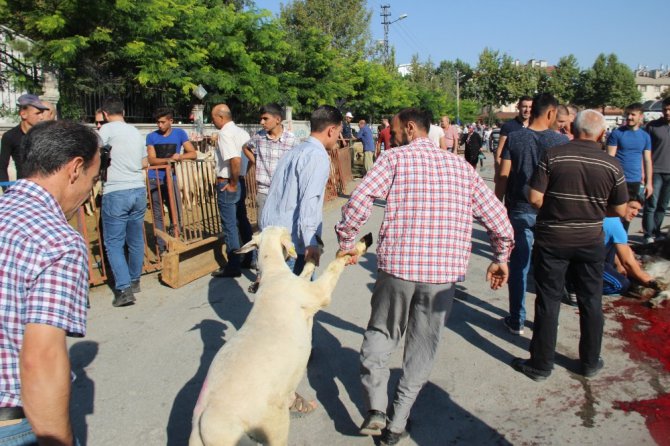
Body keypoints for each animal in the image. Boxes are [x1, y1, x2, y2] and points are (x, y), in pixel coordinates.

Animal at [190, 226, 372, 446]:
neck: (274, 275)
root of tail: (203, 426)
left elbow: (308, 269)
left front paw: (315, 249)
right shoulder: (317, 293)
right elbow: (335, 266)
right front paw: (358, 246)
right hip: (273, 426)